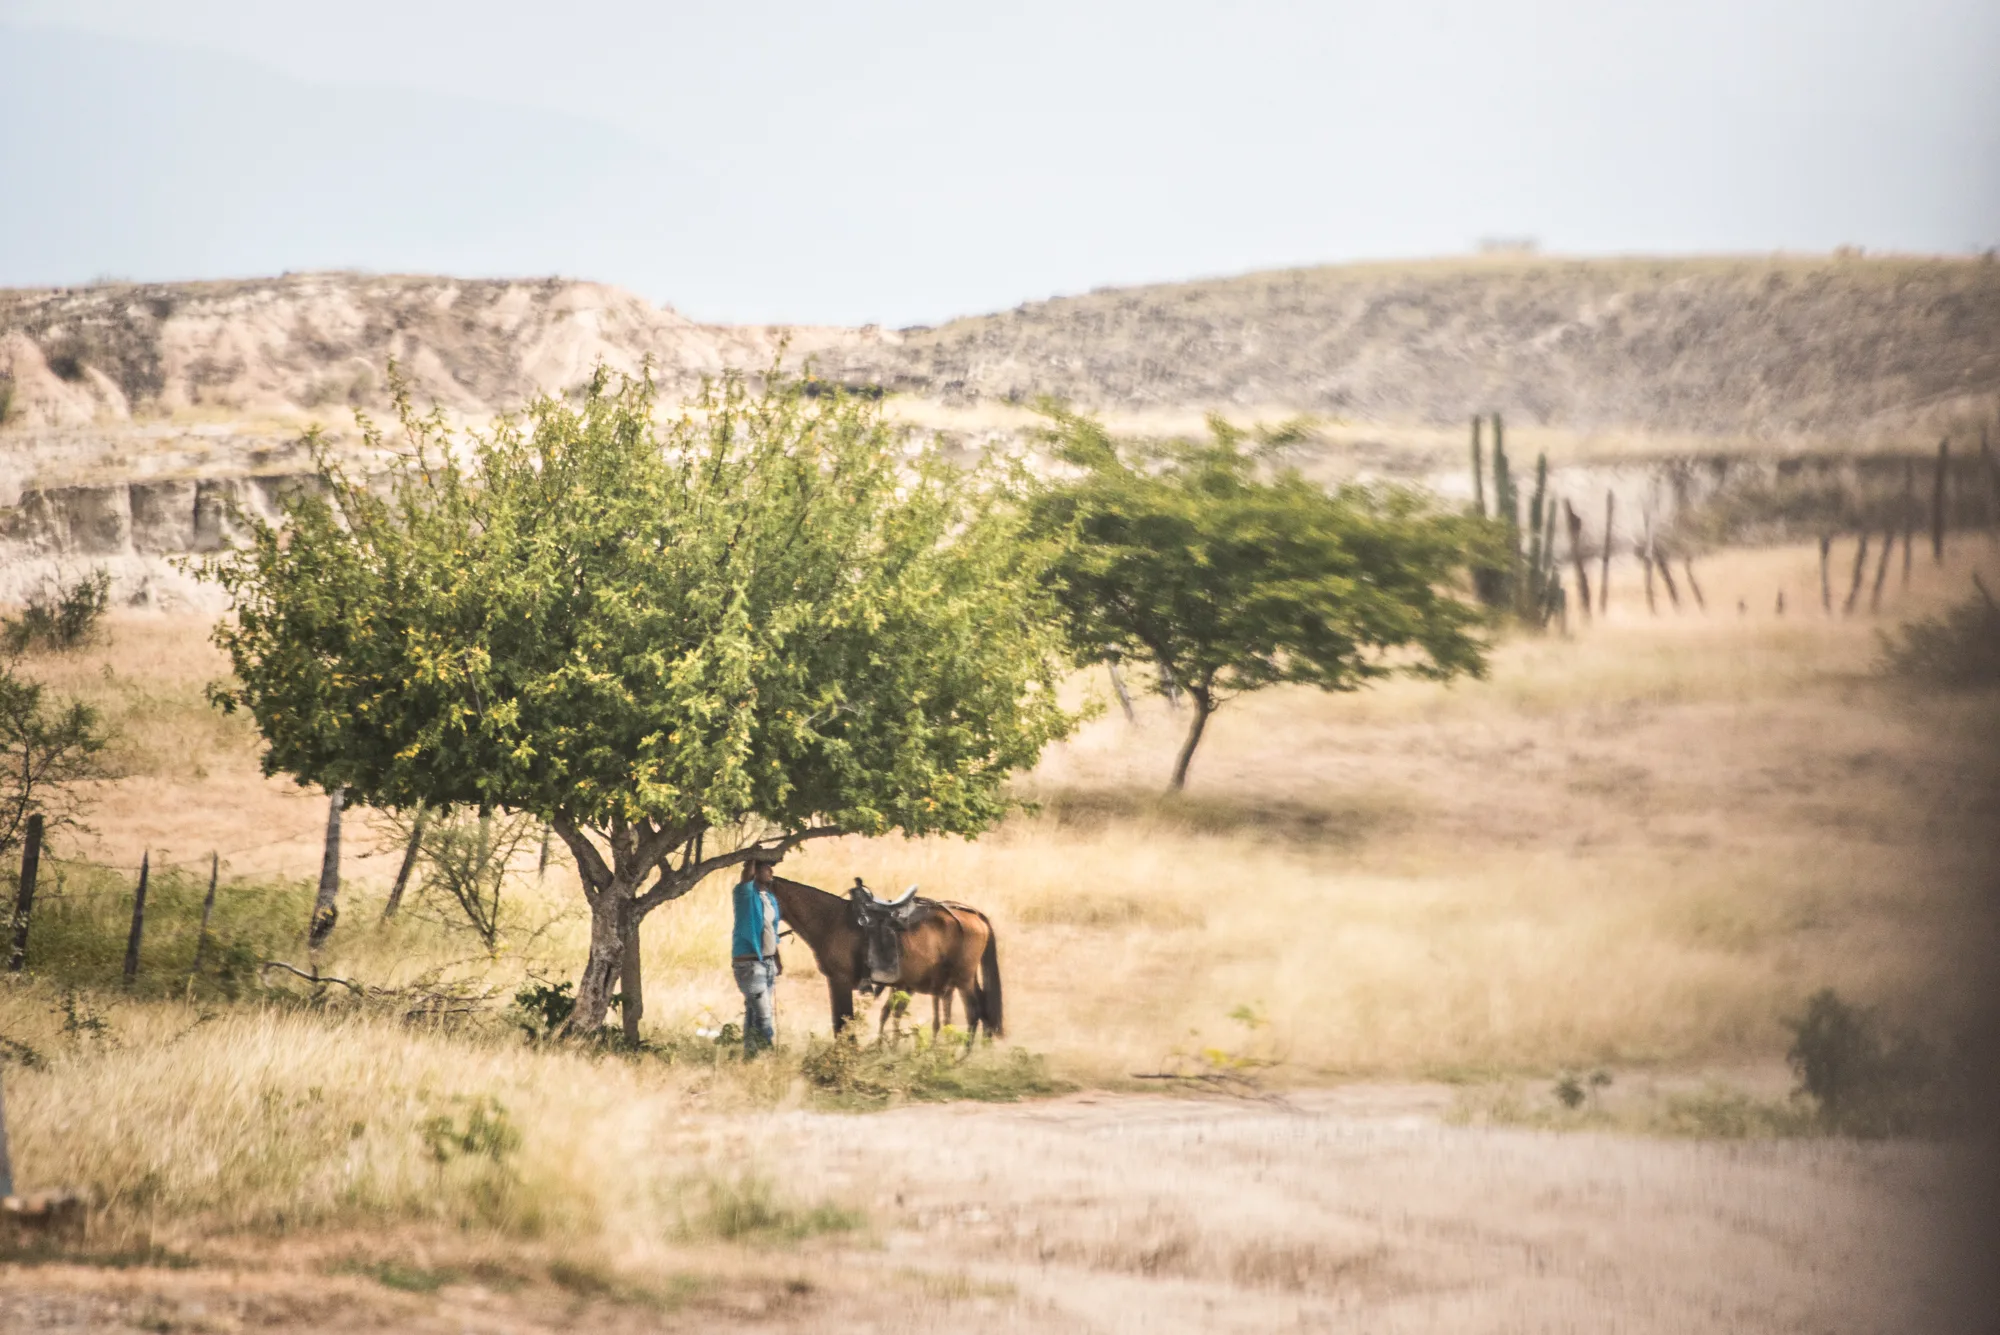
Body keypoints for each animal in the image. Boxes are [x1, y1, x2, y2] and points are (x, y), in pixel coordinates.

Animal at [765, 876, 1004, 1039]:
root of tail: (975, 915)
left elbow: (842, 1023)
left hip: (963, 978)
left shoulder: (839, 981)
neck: (830, 921)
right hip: (965, 979)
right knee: (984, 1010)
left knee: (974, 1012)